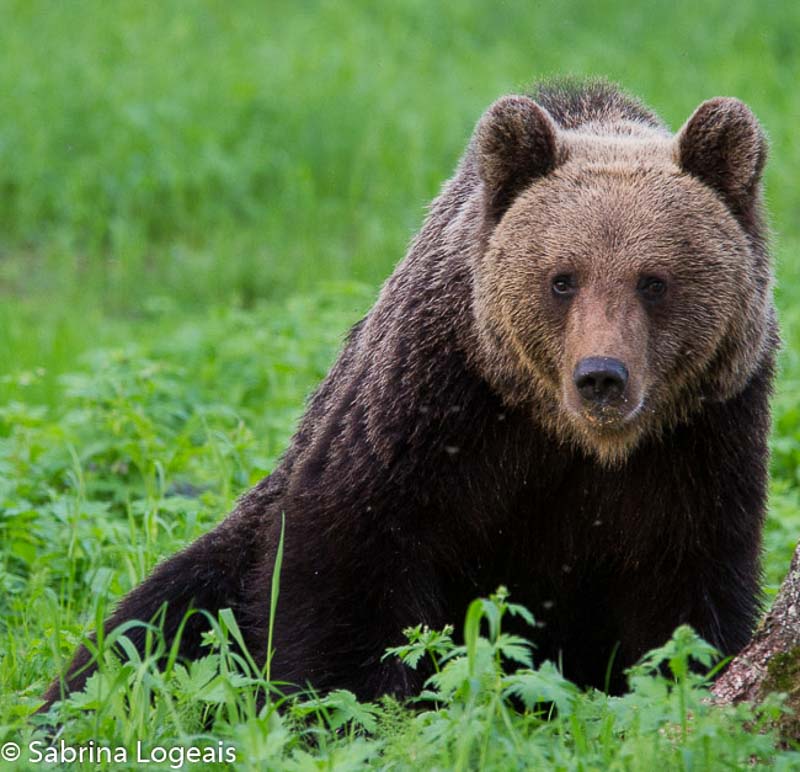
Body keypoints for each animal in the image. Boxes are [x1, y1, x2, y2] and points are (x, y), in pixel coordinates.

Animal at [42, 78, 776, 704]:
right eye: (563, 278)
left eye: (654, 281)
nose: (601, 376)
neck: (572, 441)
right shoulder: (435, 407)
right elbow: (347, 558)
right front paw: (349, 706)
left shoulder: (702, 440)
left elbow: (686, 602)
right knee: (152, 631)